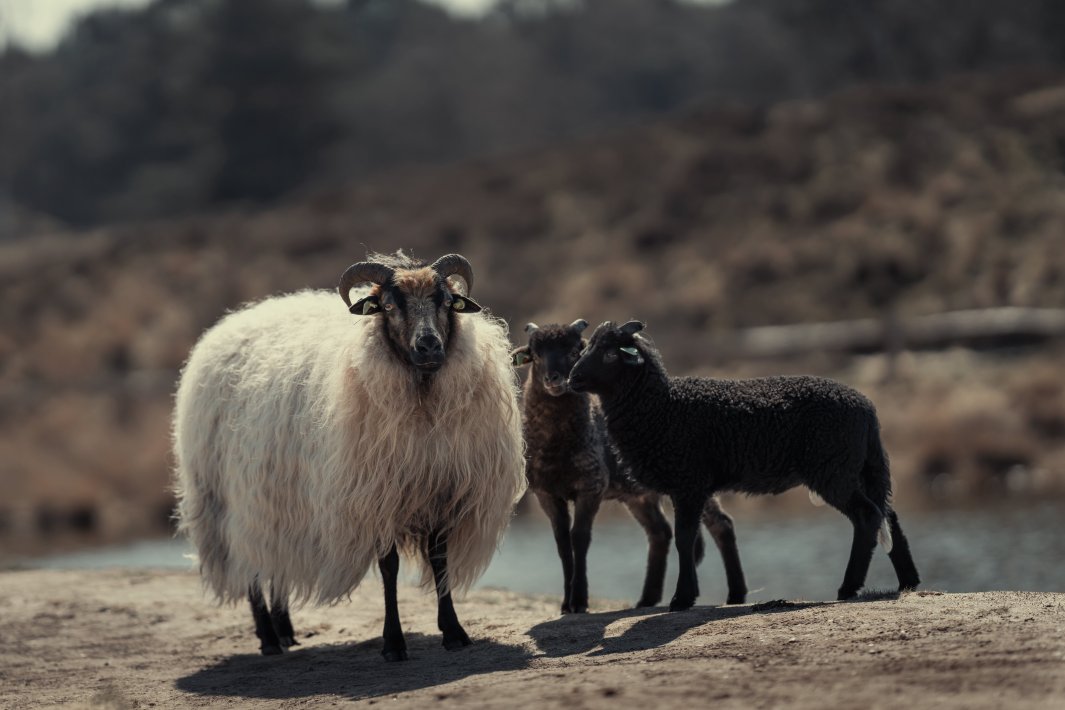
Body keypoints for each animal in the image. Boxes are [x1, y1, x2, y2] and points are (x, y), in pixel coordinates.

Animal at [174, 251, 528, 659]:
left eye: (444, 301)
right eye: (388, 305)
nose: (429, 346)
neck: (422, 397)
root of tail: (230, 322)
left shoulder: (442, 492)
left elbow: (439, 560)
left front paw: (453, 631)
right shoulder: (375, 497)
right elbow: (389, 568)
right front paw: (393, 643)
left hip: (279, 501)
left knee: (274, 559)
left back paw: (284, 630)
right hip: (228, 500)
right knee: (249, 564)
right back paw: (268, 638)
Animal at [509, 319, 745, 613]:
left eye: (575, 351)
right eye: (536, 354)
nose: (555, 379)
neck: (556, 445)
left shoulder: (591, 486)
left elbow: (579, 538)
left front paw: (579, 600)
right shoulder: (546, 493)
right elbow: (562, 543)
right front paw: (566, 604)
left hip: (694, 482)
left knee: (722, 525)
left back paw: (736, 594)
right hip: (640, 494)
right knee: (660, 532)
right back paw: (647, 599)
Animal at [570, 321, 920, 613]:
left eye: (609, 354)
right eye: (586, 348)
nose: (573, 378)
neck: (661, 407)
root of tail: (867, 408)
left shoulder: (688, 483)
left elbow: (685, 539)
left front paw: (682, 599)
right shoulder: (688, 485)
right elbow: (692, 539)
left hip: (833, 470)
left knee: (868, 516)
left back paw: (848, 587)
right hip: (856, 469)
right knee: (887, 515)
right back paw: (908, 582)